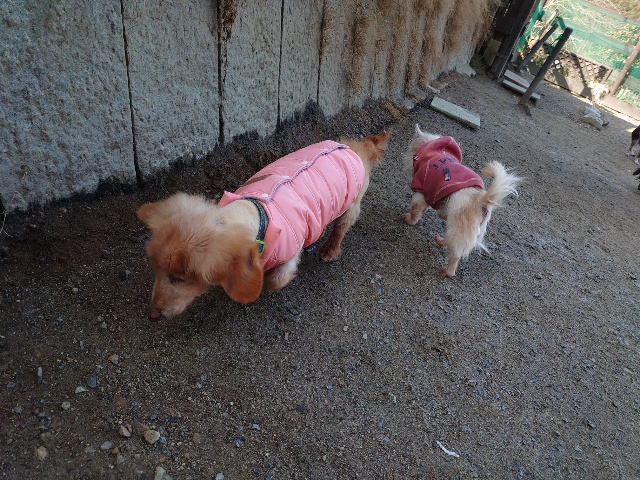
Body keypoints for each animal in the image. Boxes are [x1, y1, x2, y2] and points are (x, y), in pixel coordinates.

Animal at [137, 130, 391, 319]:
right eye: (155, 270)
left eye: (178, 278)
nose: (152, 315)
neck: (259, 212)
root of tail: (357, 146)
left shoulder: (290, 254)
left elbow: (275, 280)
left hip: (352, 204)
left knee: (341, 228)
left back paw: (329, 250)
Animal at [404, 125, 521, 277]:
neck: (434, 150)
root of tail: (481, 200)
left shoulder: (420, 194)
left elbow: (415, 211)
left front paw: (409, 220)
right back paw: (441, 241)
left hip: (457, 228)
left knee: (455, 255)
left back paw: (447, 271)